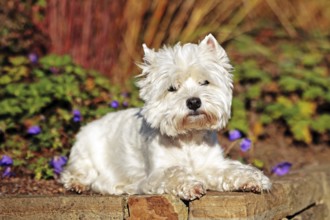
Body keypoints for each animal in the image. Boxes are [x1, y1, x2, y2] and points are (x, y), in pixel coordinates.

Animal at [60, 34, 272, 199]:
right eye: (172, 88)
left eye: (205, 82)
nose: (193, 102)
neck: (188, 137)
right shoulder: (155, 174)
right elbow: (173, 172)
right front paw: (191, 185)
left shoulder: (212, 164)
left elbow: (230, 169)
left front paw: (252, 179)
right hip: (84, 153)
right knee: (77, 172)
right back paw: (78, 185)